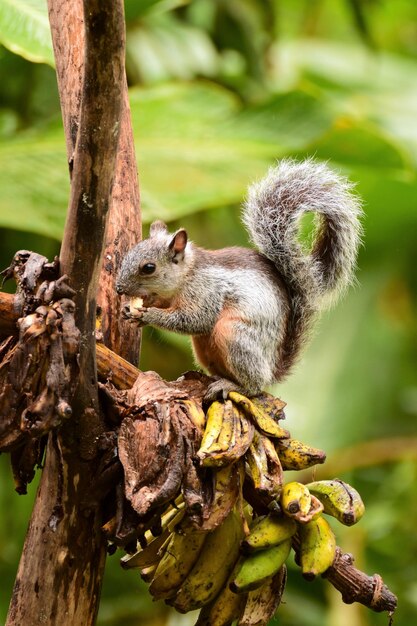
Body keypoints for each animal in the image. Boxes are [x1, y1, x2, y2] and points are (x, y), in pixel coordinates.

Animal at [116, 158, 360, 398]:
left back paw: (232, 386)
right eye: (129, 253)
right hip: (203, 346)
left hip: (235, 336)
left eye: (149, 268)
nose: (119, 289)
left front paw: (149, 315)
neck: (186, 276)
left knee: (254, 386)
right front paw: (130, 309)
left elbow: (196, 319)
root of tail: (272, 368)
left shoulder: (206, 291)